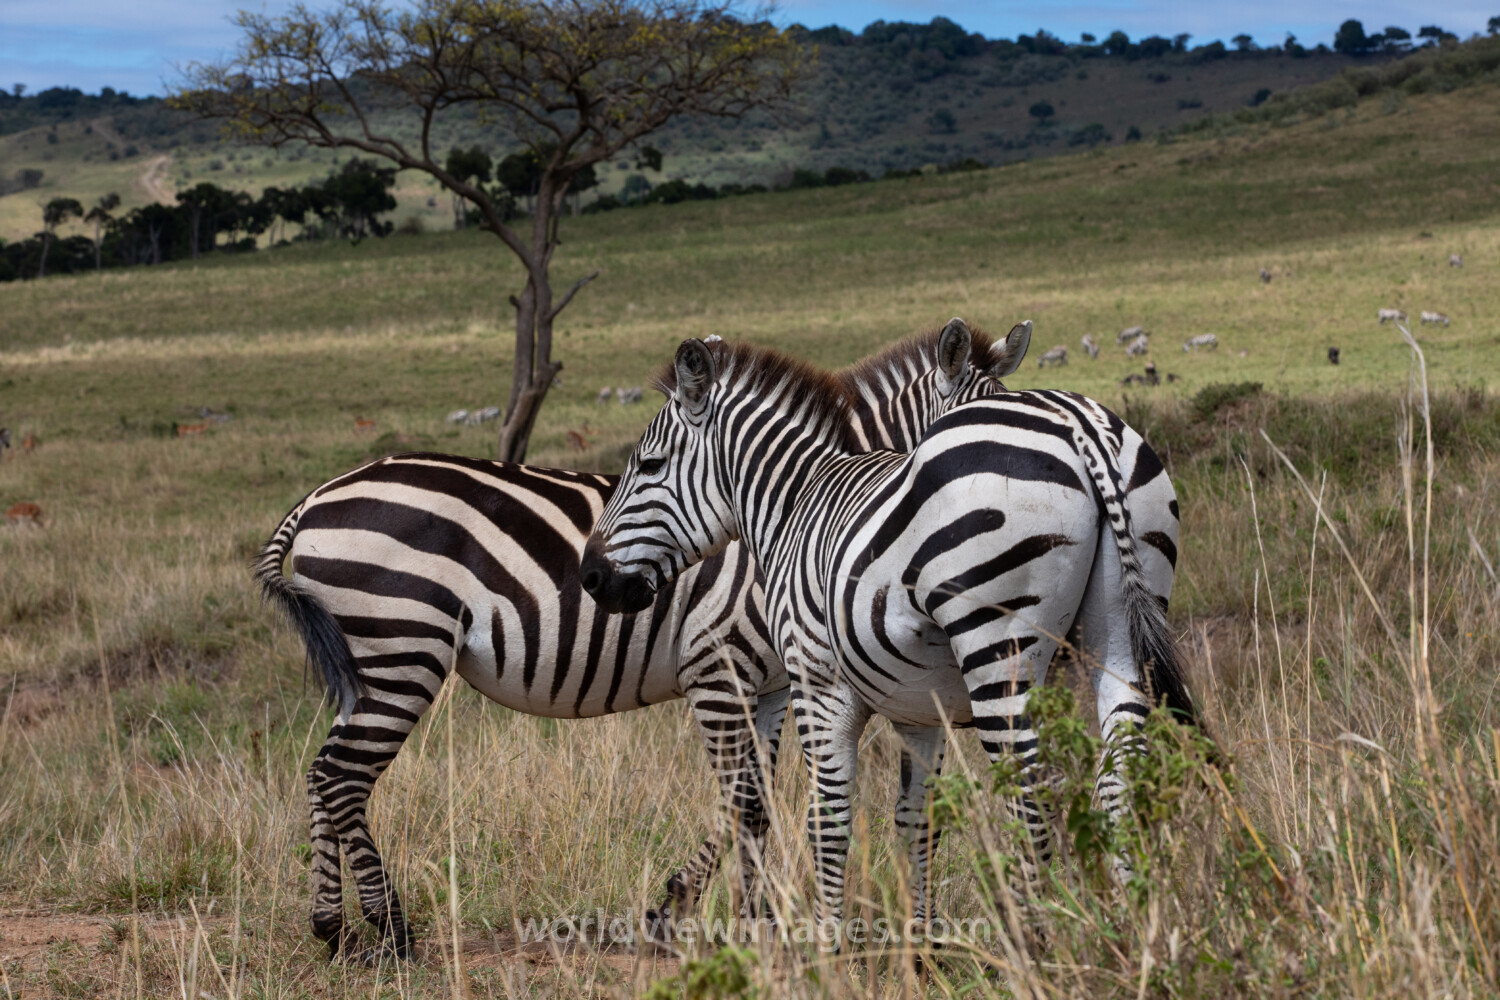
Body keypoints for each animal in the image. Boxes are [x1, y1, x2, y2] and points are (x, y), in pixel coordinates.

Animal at [582, 333, 1200, 940]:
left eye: (649, 465)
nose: (590, 576)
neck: (795, 504)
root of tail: (1079, 423)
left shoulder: (815, 682)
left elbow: (827, 818)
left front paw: (825, 946)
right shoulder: (919, 711)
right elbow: (915, 819)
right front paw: (919, 945)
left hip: (996, 645)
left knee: (1031, 793)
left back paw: (1036, 941)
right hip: (1120, 630)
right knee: (1119, 778)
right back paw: (1131, 931)